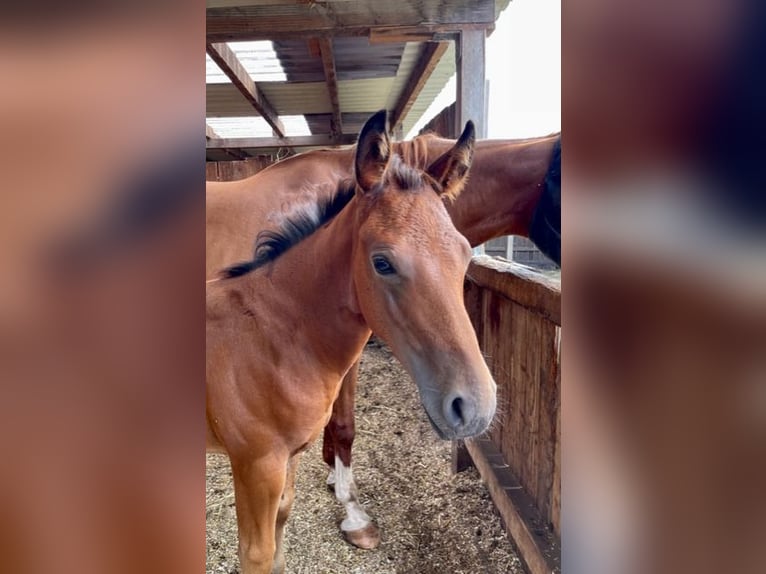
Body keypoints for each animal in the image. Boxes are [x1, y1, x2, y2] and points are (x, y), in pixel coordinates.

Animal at [207, 129, 560, 548]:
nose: (476, 408)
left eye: (464, 258)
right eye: (382, 263)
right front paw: (354, 513)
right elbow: (344, 426)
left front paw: (334, 477)